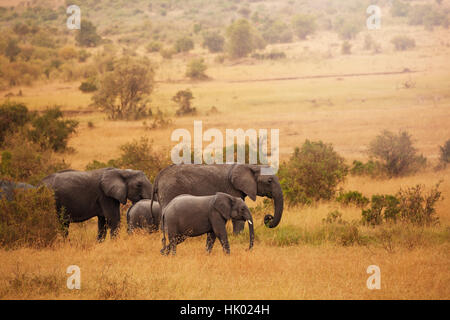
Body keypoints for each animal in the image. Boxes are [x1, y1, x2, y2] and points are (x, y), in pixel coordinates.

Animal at [151, 164, 284, 234]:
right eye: (269, 181)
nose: (268, 217)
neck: (249, 166)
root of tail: (158, 177)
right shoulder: (232, 189)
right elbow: (238, 218)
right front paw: (238, 237)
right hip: (170, 190)